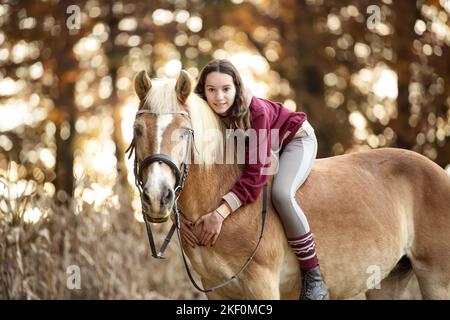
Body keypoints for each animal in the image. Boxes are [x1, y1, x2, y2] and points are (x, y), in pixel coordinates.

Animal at [130, 70, 450, 300]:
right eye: (137, 129)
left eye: (185, 132)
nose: (157, 198)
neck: (222, 200)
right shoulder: (217, 290)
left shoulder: (261, 286)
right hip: (387, 279)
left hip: (436, 279)